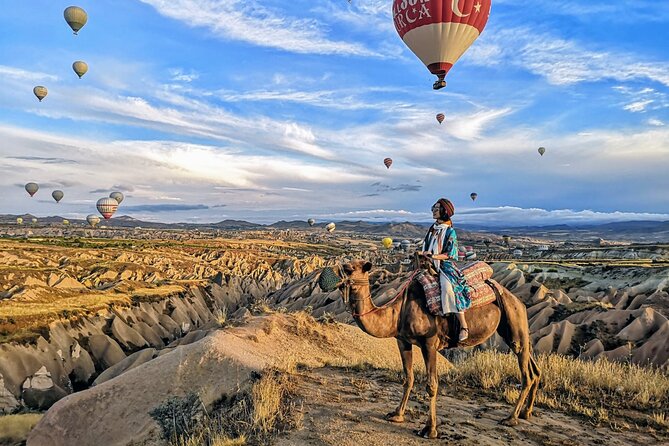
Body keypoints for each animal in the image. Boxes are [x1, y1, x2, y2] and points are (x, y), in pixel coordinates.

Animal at [336, 262, 540, 440]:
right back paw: (526, 412)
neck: (398, 311)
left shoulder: (430, 344)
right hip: (510, 329)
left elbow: (431, 385)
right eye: (345, 266)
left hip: (515, 322)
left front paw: (430, 429)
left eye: (351, 269)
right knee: (534, 369)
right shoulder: (403, 341)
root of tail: (519, 301)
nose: (338, 277)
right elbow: (408, 378)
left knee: (526, 373)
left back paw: (511, 418)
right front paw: (397, 414)